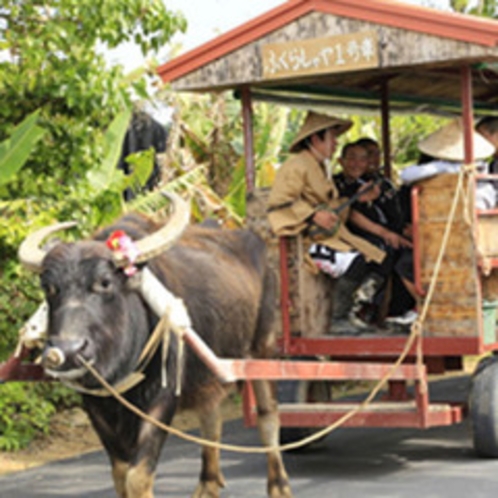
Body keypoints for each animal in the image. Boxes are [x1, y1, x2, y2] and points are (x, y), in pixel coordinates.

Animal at [18, 196, 292, 498]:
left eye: (104, 282)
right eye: (49, 288)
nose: (67, 350)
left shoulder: (162, 398)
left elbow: (138, 476)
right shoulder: (95, 406)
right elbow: (120, 474)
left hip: (262, 349)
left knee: (268, 418)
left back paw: (279, 485)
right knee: (211, 416)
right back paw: (207, 483)